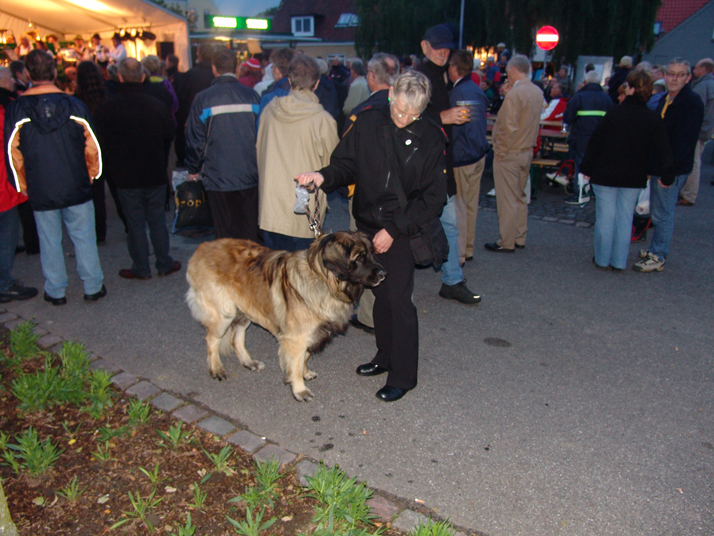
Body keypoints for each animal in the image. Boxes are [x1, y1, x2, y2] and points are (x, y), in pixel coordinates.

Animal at [184, 232, 384, 400]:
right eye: (359, 257)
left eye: (371, 254)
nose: (384, 273)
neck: (324, 280)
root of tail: (203, 246)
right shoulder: (296, 338)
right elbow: (295, 364)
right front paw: (299, 389)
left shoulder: (308, 335)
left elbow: (304, 357)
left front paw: (305, 373)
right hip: (224, 312)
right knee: (212, 340)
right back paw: (216, 369)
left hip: (245, 308)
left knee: (236, 337)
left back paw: (249, 362)